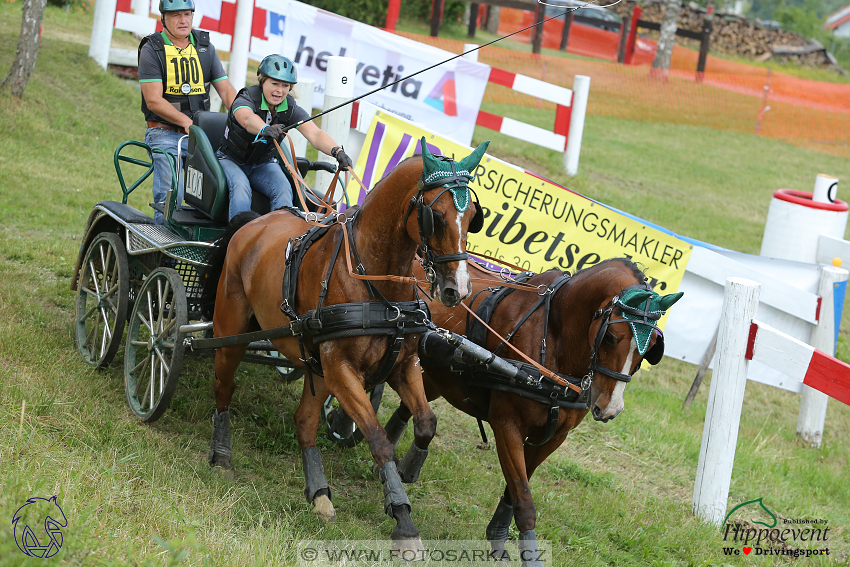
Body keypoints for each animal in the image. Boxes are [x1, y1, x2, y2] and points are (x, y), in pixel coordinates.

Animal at [199, 141, 486, 556]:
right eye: (437, 216)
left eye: (474, 217)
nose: (458, 290)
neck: (375, 281)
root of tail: (255, 222)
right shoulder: (343, 371)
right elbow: (379, 441)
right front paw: (403, 519)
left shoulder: (401, 366)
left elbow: (426, 424)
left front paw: (408, 470)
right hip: (232, 331)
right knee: (224, 386)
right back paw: (221, 455)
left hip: (316, 366)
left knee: (304, 420)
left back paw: (319, 493)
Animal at [378, 258, 684, 564]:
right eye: (610, 336)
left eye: (651, 347)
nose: (610, 408)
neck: (554, 340)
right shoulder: (507, 425)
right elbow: (523, 498)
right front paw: (530, 555)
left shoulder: (553, 437)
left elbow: (514, 491)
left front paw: (498, 536)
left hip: (437, 376)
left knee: (410, 407)